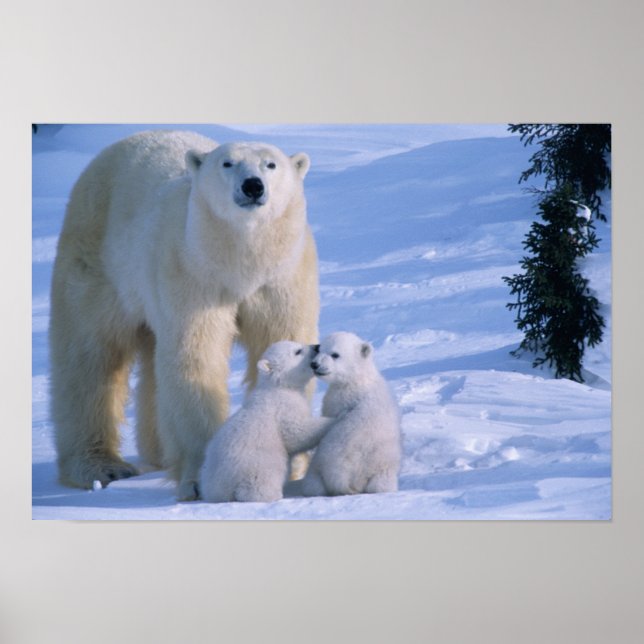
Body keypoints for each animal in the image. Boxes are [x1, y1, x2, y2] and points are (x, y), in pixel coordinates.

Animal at [49, 130, 319, 500]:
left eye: (271, 164)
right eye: (228, 163)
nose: (252, 186)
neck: (241, 263)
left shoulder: (282, 278)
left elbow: (283, 345)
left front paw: (290, 466)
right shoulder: (192, 273)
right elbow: (195, 357)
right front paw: (199, 478)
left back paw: (158, 452)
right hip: (98, 259)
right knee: (89, 356)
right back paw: (100, 466)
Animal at [200, 341, 333, 503]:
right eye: (297, 351)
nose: (317, 346)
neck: (278, 386)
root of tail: (220, 487)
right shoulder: (283, 407)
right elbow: (296, 433)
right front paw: (333, 419)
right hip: (258, 465)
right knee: (259, 484)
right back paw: (274, 494)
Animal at [299, 332, 402, 497]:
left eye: (335, 354)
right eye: (321, 349)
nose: (314, 364)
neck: (357, 379)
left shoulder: (339, 400)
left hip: (322, 462)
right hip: (383, 470)